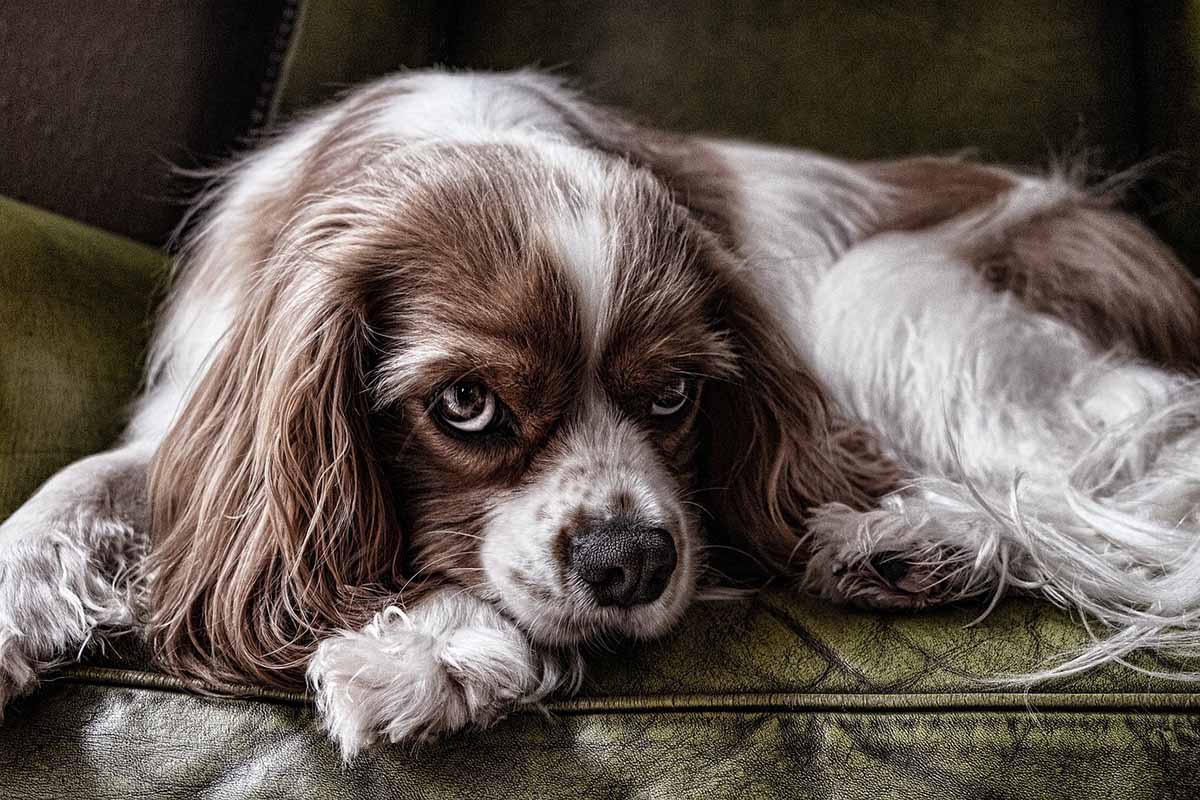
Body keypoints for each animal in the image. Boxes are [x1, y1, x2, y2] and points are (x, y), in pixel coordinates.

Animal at [2, 70, 1200, 758]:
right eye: (467, 404)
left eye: (673, 394)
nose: (630, 561)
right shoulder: (205, 419)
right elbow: (80, 484)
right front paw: (14, 603)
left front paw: (433, 648)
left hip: (892, 291)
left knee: (1098, 484)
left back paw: (914, 536)